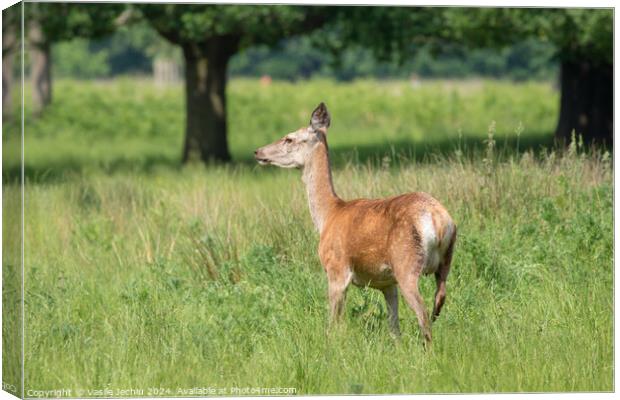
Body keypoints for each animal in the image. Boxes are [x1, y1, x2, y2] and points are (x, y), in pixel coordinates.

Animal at [253, 103, 456, 344]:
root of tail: (439, 220)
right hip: (444, 262)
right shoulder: (387, 283)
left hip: (405, 262)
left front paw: (331, 347)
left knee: (423, 314)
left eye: (289, 138)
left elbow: (334, 324)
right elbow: (393, 327)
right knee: (438, 301)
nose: (258, 152)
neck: (328, 215)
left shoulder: (336, 268)